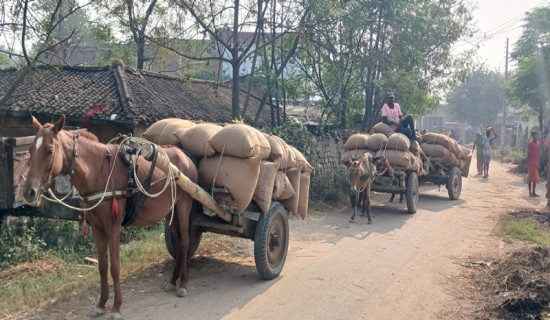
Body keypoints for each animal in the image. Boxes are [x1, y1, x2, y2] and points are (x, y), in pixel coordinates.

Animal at [24, 115, 201, 320]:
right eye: (30, 150)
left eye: (49, 150)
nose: (29, 192)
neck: (97, 171)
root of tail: (186, 156)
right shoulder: (97, 228)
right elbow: (102, 266)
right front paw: (101, 304)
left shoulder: (113, 227)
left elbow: (115, 267)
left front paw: (116, 307)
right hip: (168, 212)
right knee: (179, 241)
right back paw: (173, 281)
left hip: (183, 206)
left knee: (185, 242)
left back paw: (183, 284)